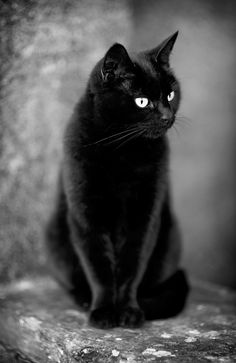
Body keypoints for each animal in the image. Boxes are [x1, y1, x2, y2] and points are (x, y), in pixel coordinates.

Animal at [47, 32, 189, 330]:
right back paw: (84, 299)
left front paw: (128, 311)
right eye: (142, 101)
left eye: (170, 94)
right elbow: (99, 266)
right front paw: (103, 311)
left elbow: (131, 265)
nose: (167, 116)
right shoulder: (86, 214)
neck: (122, 153)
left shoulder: (145, 214)